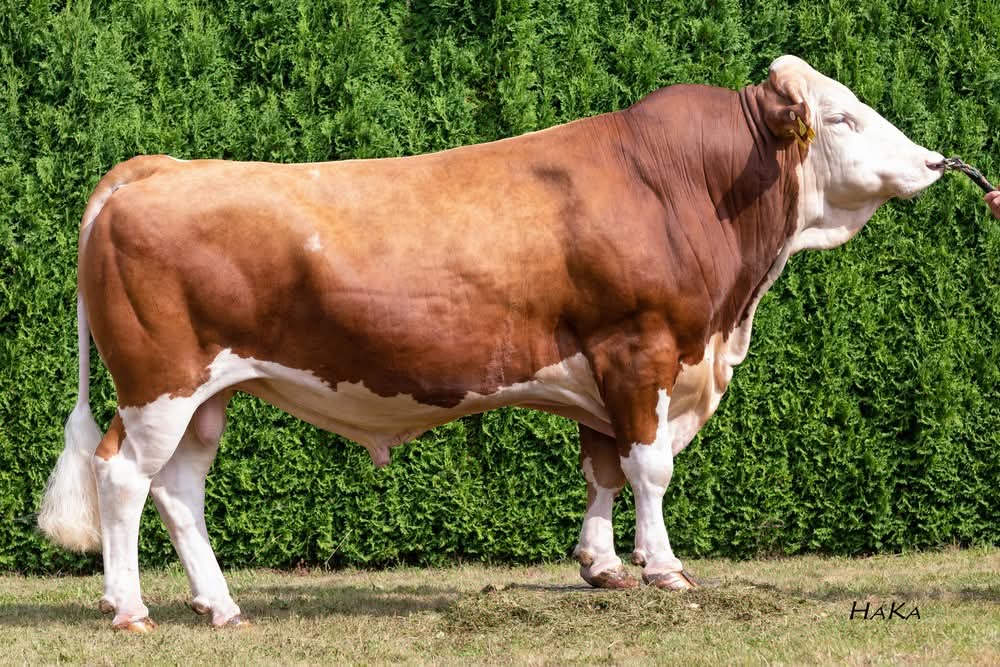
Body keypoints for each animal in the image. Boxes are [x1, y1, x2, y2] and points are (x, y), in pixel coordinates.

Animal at [38, 55, 944, 632]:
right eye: (843, 116)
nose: (937, 161)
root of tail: (153, 167)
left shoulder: (604, 371)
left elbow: (603, 467)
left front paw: (601, 566)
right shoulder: (640, 348)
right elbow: (650, 468)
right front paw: (664, 569)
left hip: (207, 396)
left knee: (179, 490)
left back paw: (221, 606)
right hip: (160, 383)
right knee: (122, 477)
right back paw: (131, 609)